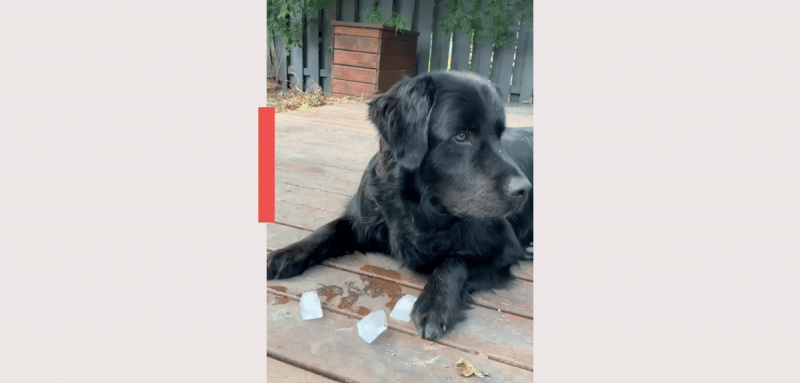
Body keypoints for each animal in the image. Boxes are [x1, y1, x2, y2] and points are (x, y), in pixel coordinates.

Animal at [268, 70, 532, 340]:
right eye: (461, 136)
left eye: (499, 135)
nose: (524, 189)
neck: (420, 207)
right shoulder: (364, 220)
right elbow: (326, 230)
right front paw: (284, 255)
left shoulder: (506, 247)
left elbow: (453, 260)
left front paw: (435, 303)